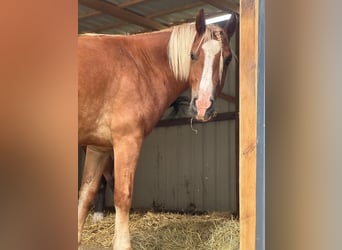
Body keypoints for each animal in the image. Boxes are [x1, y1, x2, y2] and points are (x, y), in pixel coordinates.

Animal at [79, 9, 236, 250]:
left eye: (227, 59)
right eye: (193, 55)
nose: (202, 107)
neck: (138, 64)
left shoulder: (98, 148)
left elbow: (85, 196)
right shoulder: (127, 141)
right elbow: (122, 196)